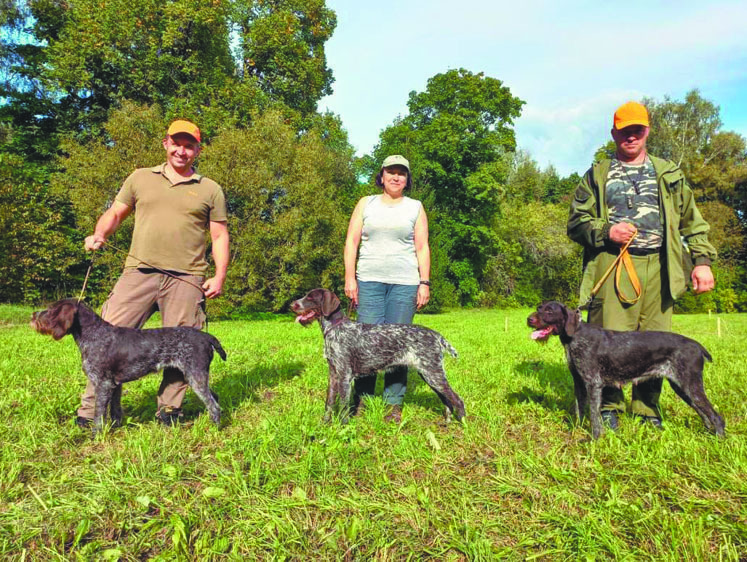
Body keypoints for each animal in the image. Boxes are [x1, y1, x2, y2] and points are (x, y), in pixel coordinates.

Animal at [32, 300, 224, 430]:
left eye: (51, 309)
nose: (33, 315)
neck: (93, 333)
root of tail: (206, 337)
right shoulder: (114, 384)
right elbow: (115, 410)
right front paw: (115, 428)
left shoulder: (103, 383)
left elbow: (98, 413)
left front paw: (96, 434)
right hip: (198, 376)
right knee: (215, 398)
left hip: (195, 376)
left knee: (214, 405)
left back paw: (214, 428)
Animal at [290, 288, 462, 420]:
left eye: (311, 297)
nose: (292, 304)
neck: (334, 328)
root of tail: (436, 335)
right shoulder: (333, 375)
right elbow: (329, 403)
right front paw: (325, 425)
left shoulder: (345, 376)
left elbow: (343, 406)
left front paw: (342, 427)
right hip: (429, 375)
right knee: (448, 400)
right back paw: (447, 422)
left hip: (433, 374)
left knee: (458, 401)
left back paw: (463, 424)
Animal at [524, 300, 724, 436]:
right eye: (539, 307)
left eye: (549, 310)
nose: (528, 319)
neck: (574, 337)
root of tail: (696, 345)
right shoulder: (579, 383)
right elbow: (579, 410)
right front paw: (575, 432)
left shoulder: (593, 384)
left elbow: (594, 416)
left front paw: (594, 439)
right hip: (683, 388)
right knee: (705, 414)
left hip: (690, 386)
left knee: (717, 417)